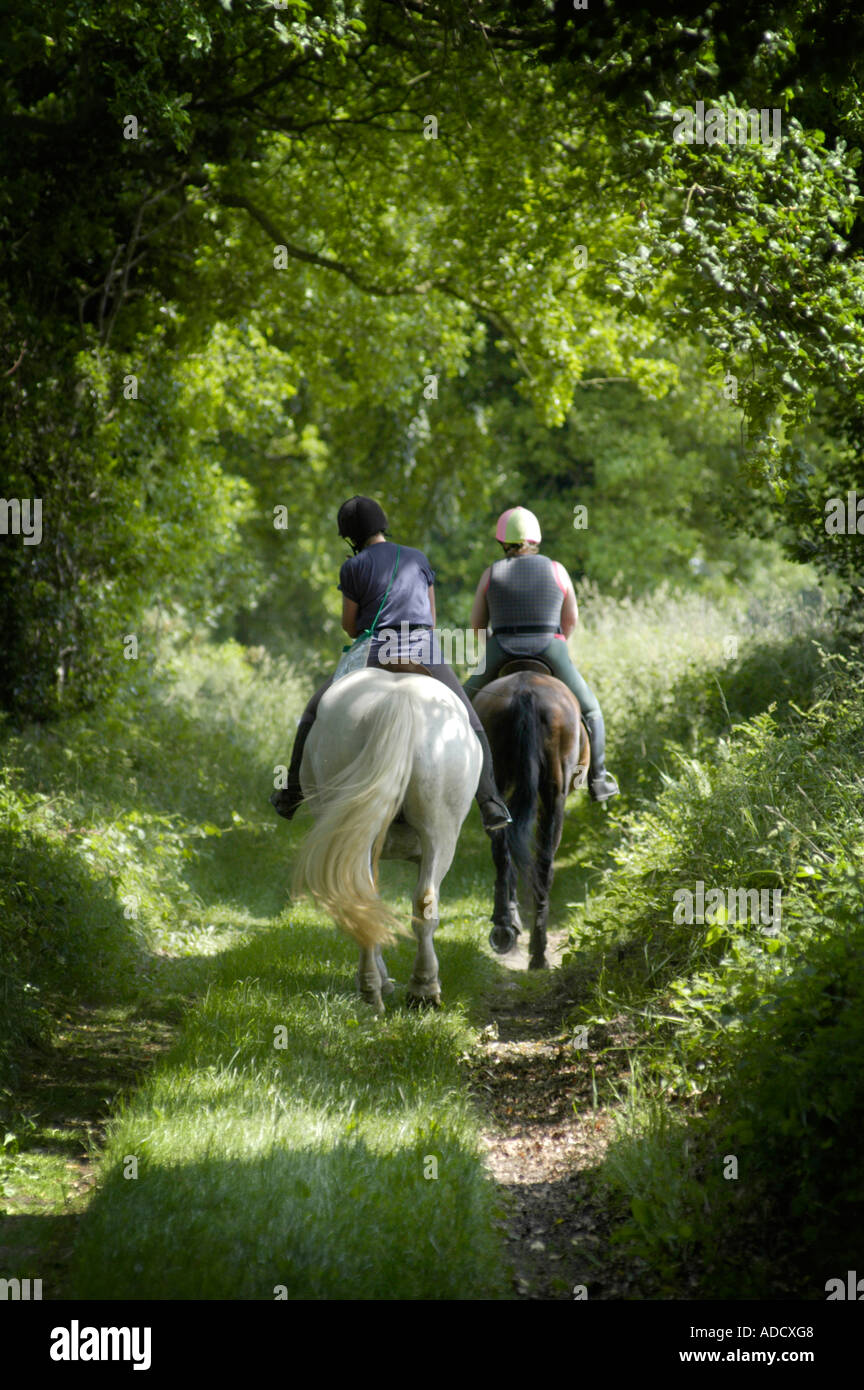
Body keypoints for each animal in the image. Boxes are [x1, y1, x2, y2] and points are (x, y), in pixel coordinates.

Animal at [292, 666, 481, 1011]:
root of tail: (399, 700)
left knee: (368, 899)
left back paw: (373, 990)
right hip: (441, 832)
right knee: (424, 901)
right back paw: (422, 988)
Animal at [472, 659, 590, 969]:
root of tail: (526, 693)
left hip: (499, 784)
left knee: (506, 853)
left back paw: (509, 930)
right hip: (553, 794)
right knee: (541, 863)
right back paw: (536, 950)